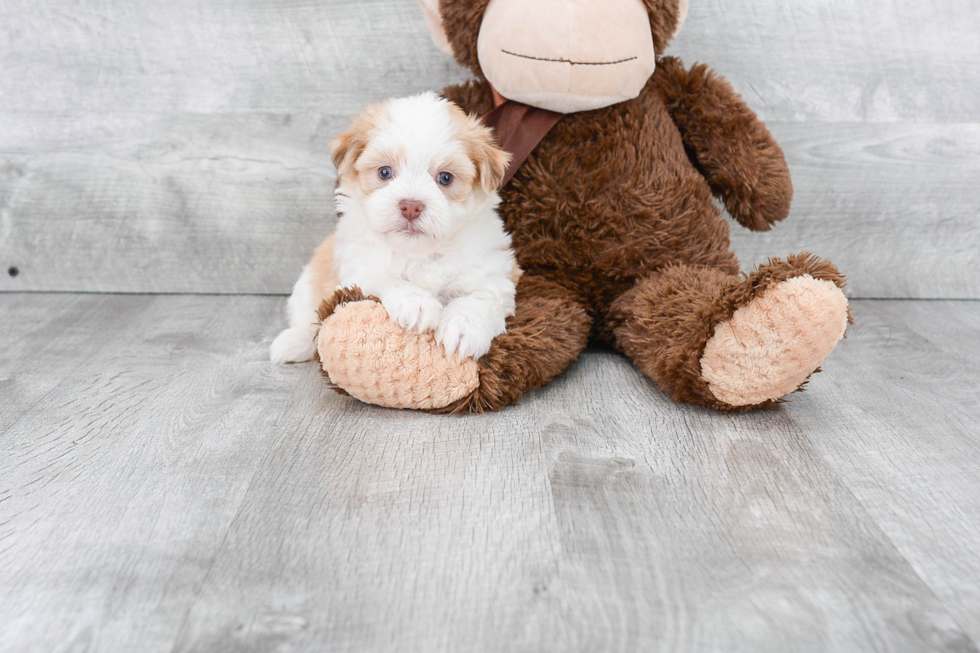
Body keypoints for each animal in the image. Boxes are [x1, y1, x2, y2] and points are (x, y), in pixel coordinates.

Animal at [268, 92, 512, 366]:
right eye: (385, 172)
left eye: (446, 178)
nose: (411, 206)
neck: (419, 253)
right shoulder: (358, 267)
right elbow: (386, 277)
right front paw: (416, 303)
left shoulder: (493, 273)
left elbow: (481, 297)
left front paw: (463, 328)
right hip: (307, 284)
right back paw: (292, 343)